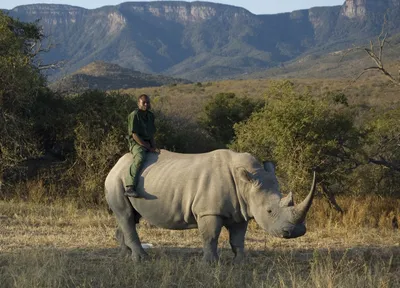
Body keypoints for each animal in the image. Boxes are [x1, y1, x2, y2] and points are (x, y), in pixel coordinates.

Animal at [105, 150, 316, 262]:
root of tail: (116, 164)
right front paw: (210, 263)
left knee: (130, 217)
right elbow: (211, 236)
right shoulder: (209, 212)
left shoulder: (241, 210)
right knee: (126, 216)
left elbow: (238, 238)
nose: (296, 232)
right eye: (269, 211)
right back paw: (141, 259)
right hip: (116, 180)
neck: (247, 183)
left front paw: (241, 261)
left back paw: (125, 255)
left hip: (127, 179)